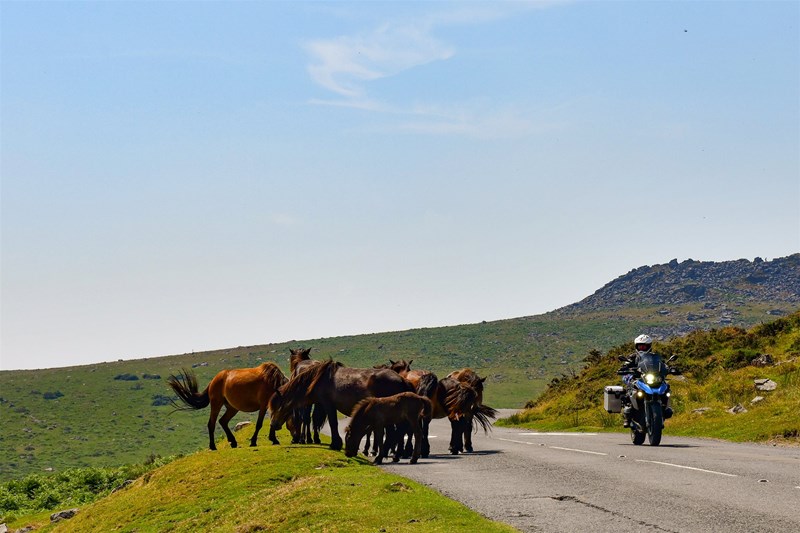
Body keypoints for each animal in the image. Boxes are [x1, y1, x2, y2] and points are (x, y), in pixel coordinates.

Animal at [269, 359, 413, 451]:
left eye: (277, 407)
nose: (273, 425)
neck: (320, 378)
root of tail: (401, 379)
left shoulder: (328, 405)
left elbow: (333, 423)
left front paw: (335, 444)